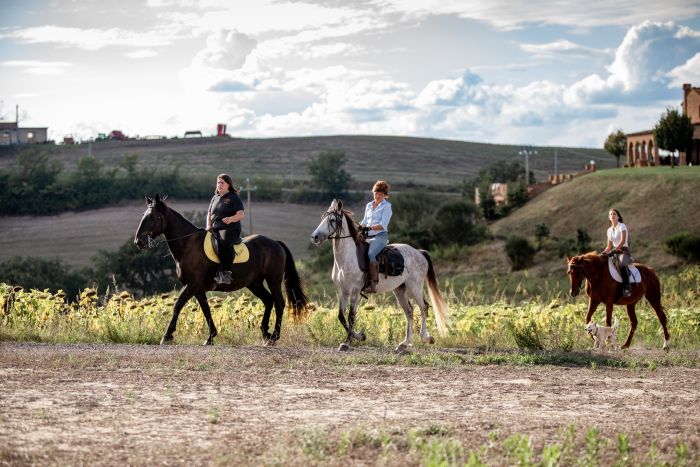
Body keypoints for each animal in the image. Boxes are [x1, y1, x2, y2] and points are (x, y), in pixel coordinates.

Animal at [135, 195, 308, 348]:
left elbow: (178, 305)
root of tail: (275, 243)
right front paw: (210, 337)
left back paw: (274, 336)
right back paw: (265, 334)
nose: (138, 242)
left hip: (273, 279)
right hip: (254, 283)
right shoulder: (197, 288)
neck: (189, 245)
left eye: (152, 217)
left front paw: (167, 336)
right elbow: (206, 310)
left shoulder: (192, 284)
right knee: (268, 301)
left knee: (279, 303)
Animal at [310, 199, 452, 352]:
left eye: (332, 220)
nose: (315, 237)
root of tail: (419, 252)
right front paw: (360, 336)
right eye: (322, 218)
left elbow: (351, 316)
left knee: (424, 307)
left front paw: (347, 342)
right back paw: (404, 343)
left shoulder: (355, 291)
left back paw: (426, 338)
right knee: (409, 311)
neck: (347, 258)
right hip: (400, 289)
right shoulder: (342, 291)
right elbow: (341, 316)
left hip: (415, 287)